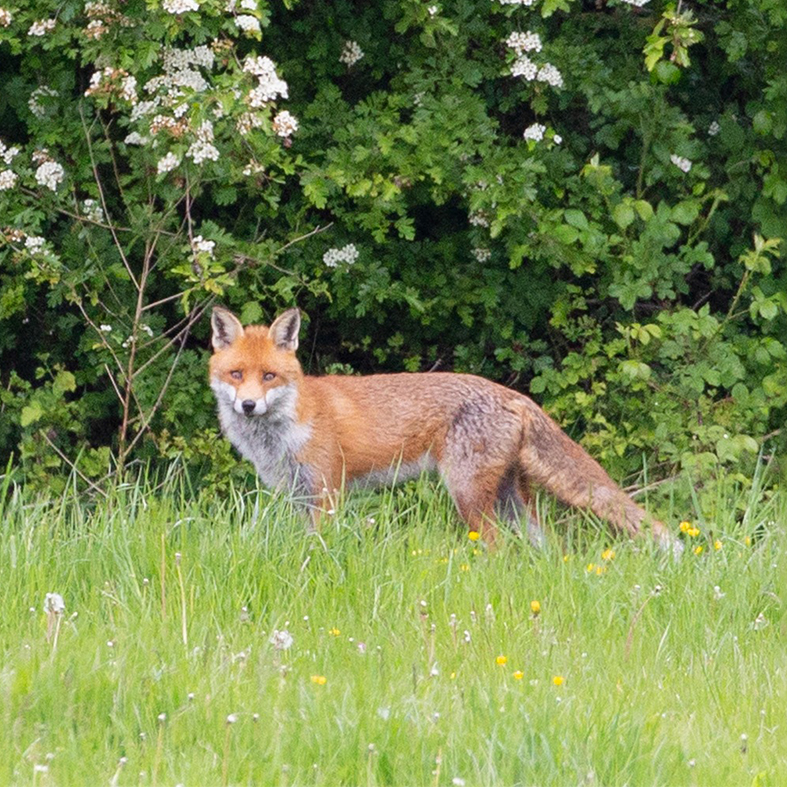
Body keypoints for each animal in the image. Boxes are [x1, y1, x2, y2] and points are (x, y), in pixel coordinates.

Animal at [209, 306, 673, 548]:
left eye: (269, 376)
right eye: (237, 374)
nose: (248, 405)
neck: (285, 430)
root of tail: (515, 395)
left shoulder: (326, 493)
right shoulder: (295, 496)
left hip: (468, 494)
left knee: (497, 547)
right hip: (512, 501)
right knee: (547, 546)